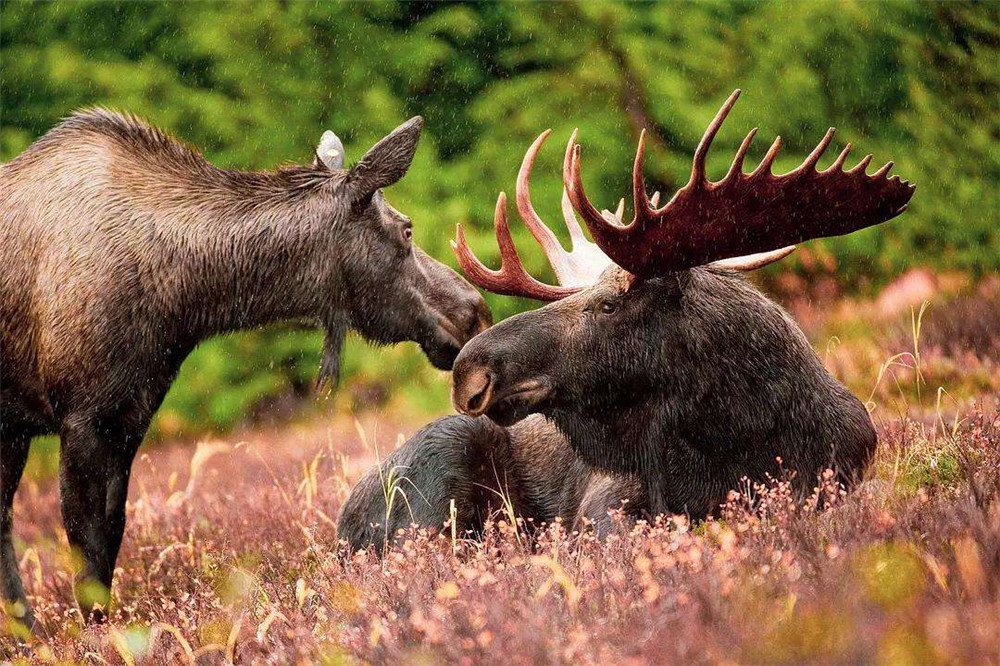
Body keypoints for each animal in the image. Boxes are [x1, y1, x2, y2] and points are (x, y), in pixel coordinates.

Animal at [0, 111, 492, 624]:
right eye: (406, 230)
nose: (474, 310)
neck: (183, 300)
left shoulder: (129, 417)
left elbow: (111, 539)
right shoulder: (82, 418)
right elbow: (88, 555)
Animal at [338, 88, 916, 548]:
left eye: (609, 304)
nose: (469, 370)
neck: (743, 435)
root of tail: (341, 526)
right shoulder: (607, 504)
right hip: (443, 460)